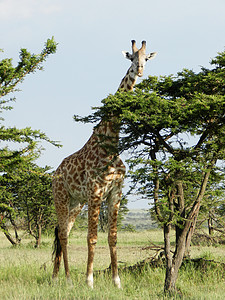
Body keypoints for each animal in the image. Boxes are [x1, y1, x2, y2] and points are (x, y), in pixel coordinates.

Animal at [51, 39, 156, 288]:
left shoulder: (115, 192)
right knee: (63, 234)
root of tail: (54, 175)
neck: (111, 142)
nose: (139, 71)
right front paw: (89, 281)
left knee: (62, 231)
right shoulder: (96, 191)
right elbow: (92, 237)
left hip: (76, 202)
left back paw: (56, 277)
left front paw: (117, 281)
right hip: (61, 197)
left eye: (146, 59)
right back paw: (68, 279)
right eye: (132, 58)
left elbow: (113, 237)